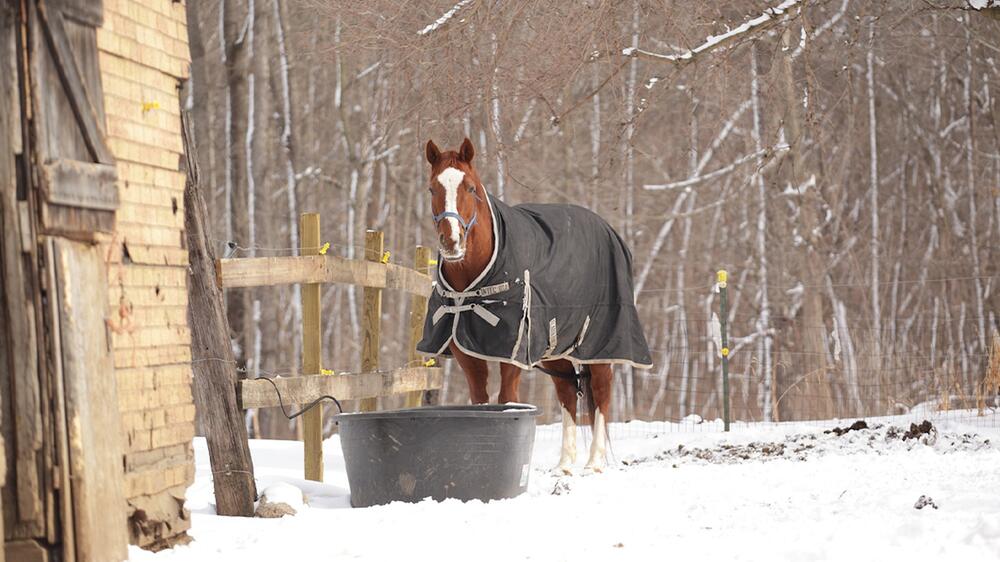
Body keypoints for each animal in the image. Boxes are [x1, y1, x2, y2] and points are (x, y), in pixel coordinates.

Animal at [418, 137, 652, 472]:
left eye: (471, 188)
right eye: (432, 188)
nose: (451, 242)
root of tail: (609, 231)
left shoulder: (512, 356)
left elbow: (506, 400)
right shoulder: (468, 355)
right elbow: (480, 402)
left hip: (600, 346)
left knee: (602, 392)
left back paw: (594, 462)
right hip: (556, 350)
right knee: (567, 392)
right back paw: (564, 464)